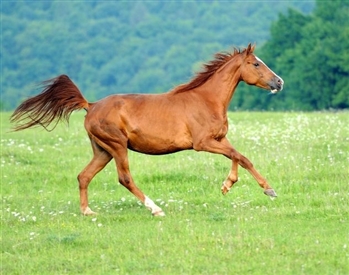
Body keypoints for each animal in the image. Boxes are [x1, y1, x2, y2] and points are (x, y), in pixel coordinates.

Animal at [10, 44, 282, 218]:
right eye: (256, 64)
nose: (279, 82)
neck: (206, 99)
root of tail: (91, 105)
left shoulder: (219, 138)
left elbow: (239, 157)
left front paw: (228, 185)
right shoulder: (203, 143)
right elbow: (240, 156)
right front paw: (268, 190)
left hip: (102, 151)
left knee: (83, 176)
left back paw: (87, 211)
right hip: (117, 146)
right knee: (125, 178)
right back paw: (155, 208)